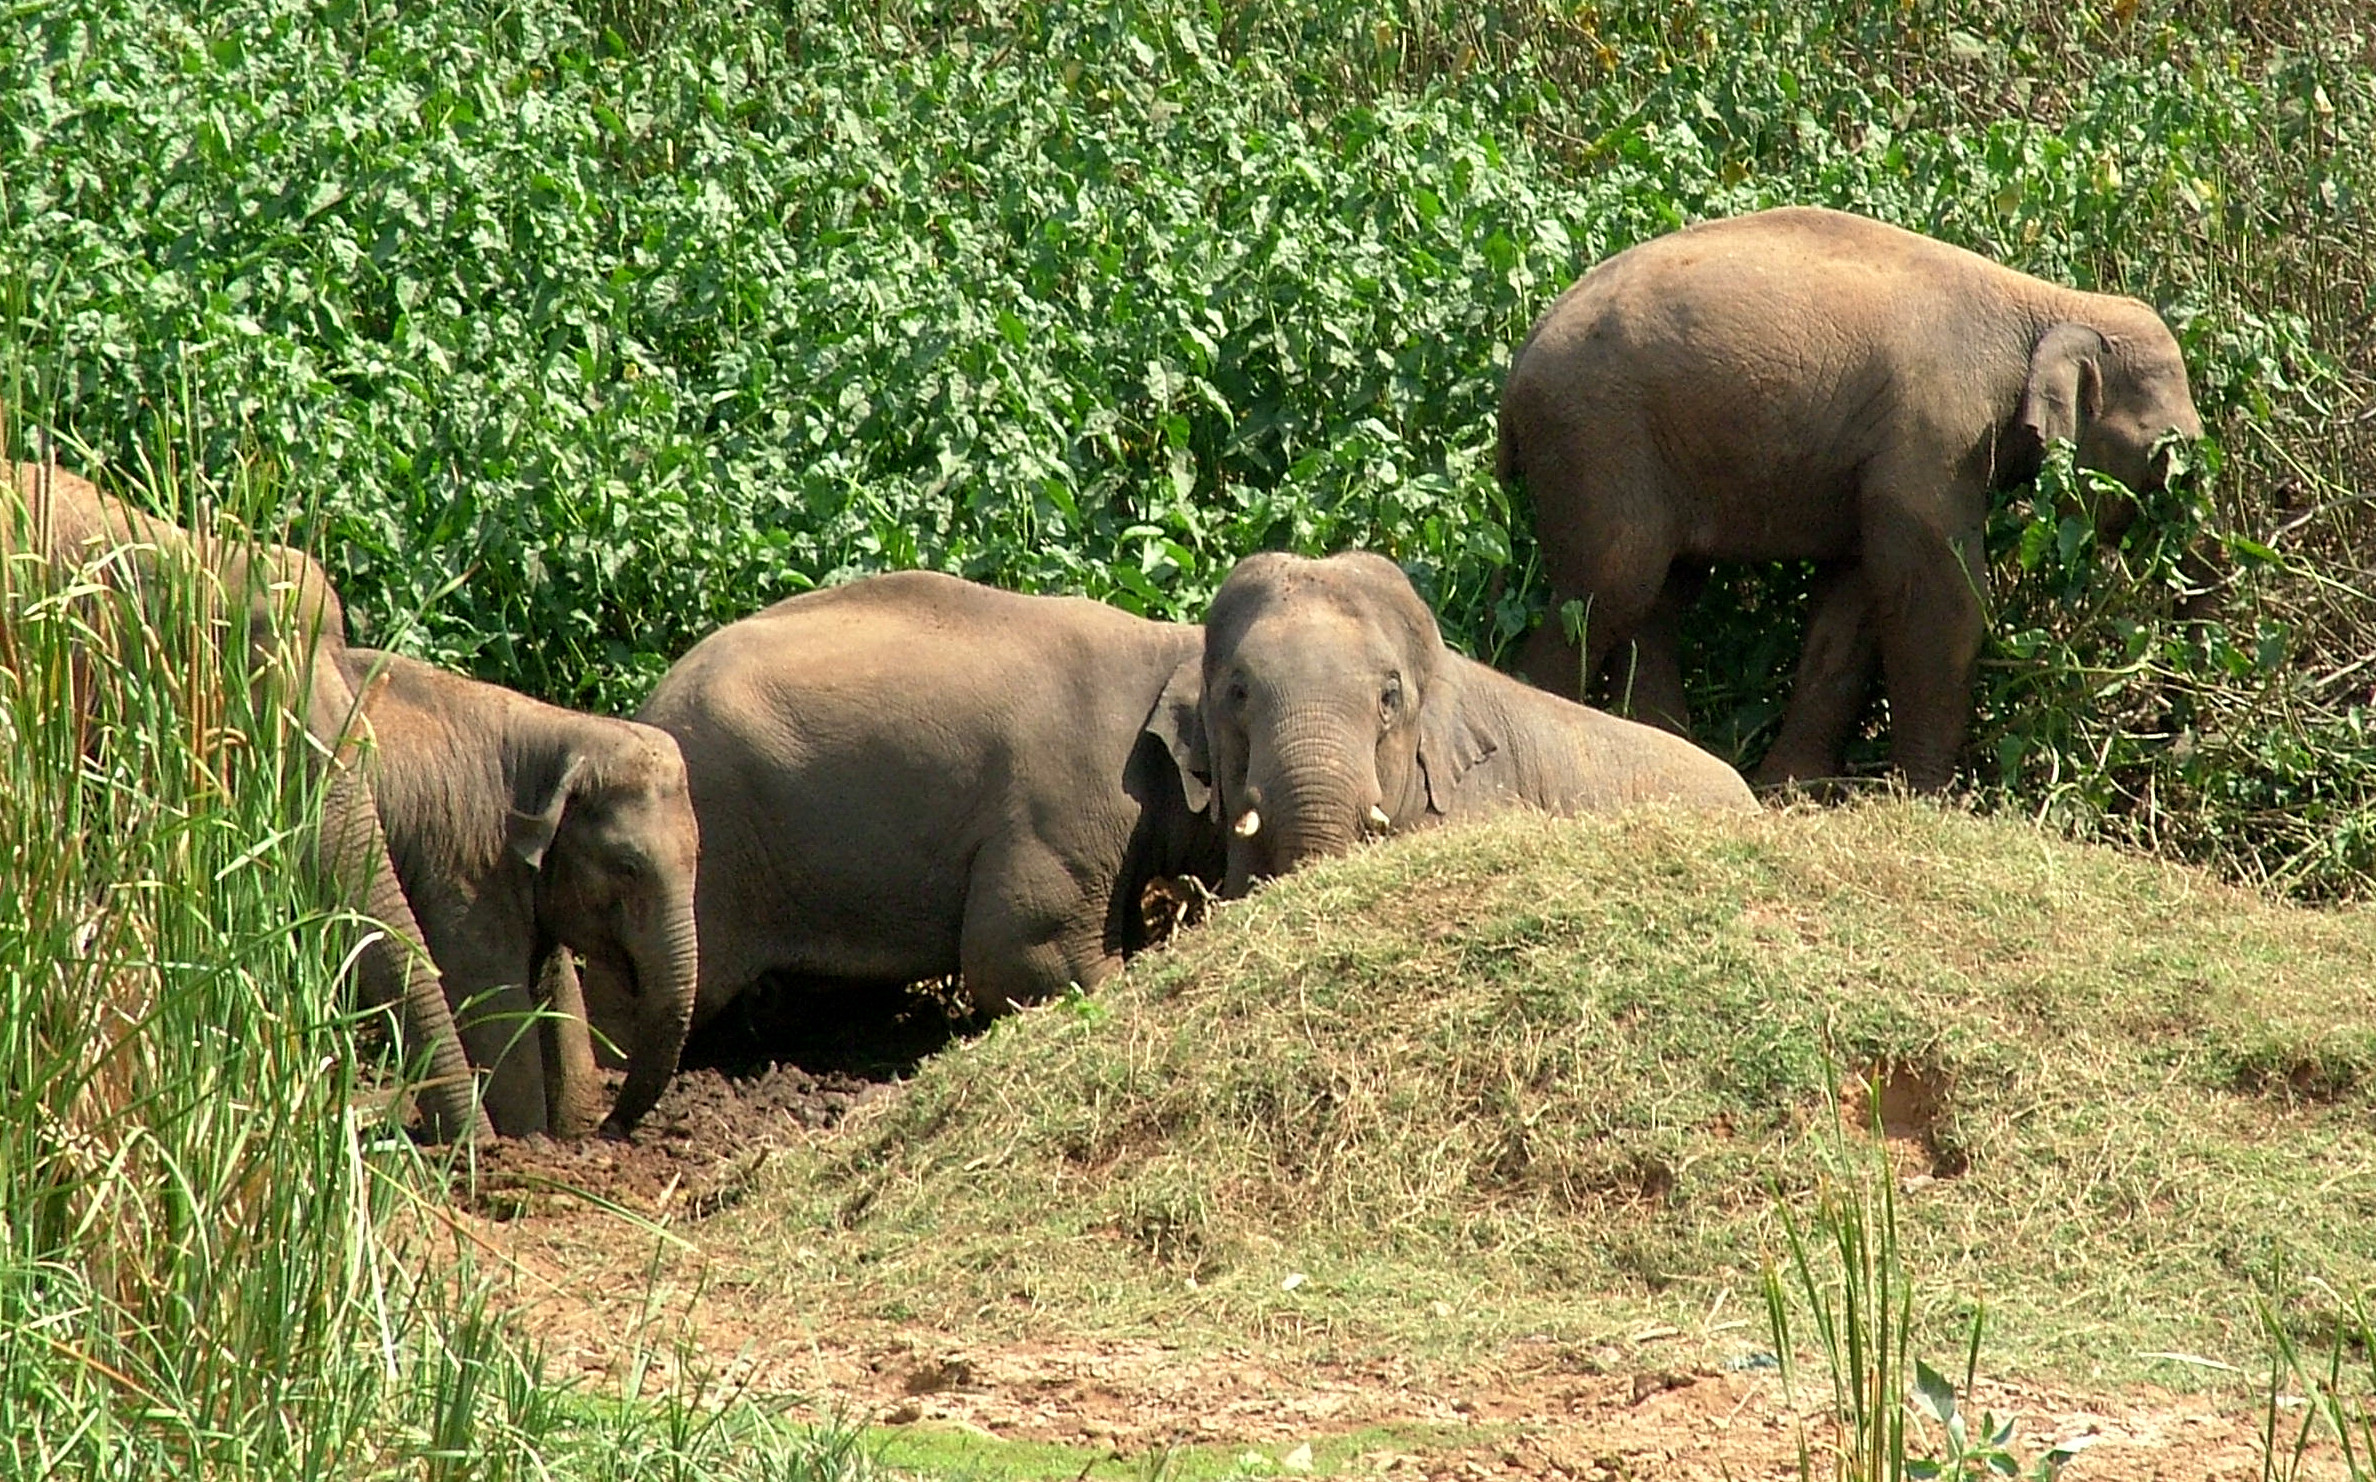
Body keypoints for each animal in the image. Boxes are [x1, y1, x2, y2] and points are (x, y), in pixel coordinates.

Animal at [344, 646, 698, 1135]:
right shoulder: (467, 872)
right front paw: (528, 1138)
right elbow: (495, 1007)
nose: (609, 1127)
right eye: (627, 868)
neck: (560, 731)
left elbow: (558, 991)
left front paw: (567, 1128)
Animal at [1501, 205, 2204, 798]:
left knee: (1660, 594)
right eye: (2167, 457)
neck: (2047, 302)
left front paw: (1793, 792)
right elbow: (1941, 594)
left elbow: (1855, 598)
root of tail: (1522, 355)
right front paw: (1926, 800)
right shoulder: (1933, 437)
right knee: (1611, 585)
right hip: (1597, 435)